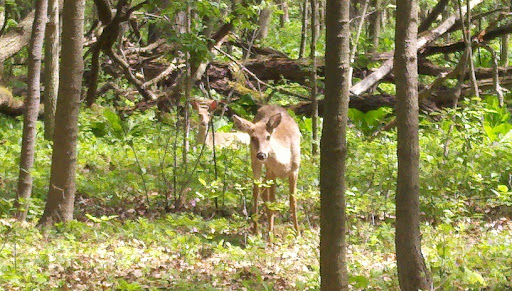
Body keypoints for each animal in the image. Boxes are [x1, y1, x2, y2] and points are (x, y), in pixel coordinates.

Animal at [232, 105, 300, 235]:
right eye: (253, 137)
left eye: (268, 137)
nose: (262, 154)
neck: (284, 163)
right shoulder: (271, 172)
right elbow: (272, 203)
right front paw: (270, 236)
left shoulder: (295, 170)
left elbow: (293, 201)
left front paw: (298, 233)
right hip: (255, 160)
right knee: (256, 189)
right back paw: (256, 229)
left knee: (263, 188)